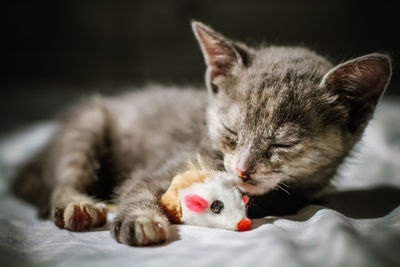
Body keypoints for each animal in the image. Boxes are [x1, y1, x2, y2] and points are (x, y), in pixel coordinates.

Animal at [11, 21, 390, 247]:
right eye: (231, 132)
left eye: (282, 143)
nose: (243, 170)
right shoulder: (170, 165)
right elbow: (137, 186)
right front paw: (142, 219)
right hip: (87, 123)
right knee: (65, 174)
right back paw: (78, 204)